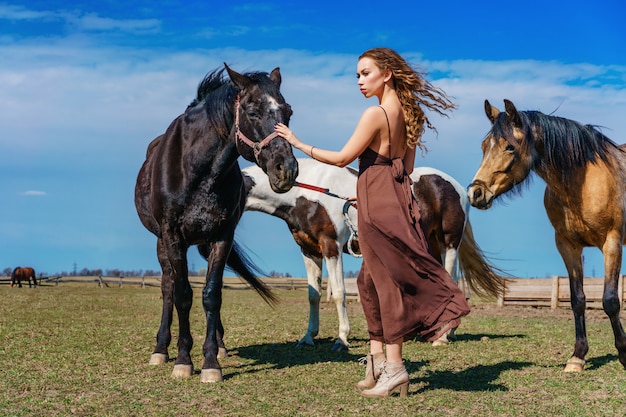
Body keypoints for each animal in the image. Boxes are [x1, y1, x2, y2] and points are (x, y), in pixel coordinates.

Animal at [133, 64, 298, 380]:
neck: (198, 170)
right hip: (161, 242)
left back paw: (219, 345)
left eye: (288, 112)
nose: (286, 170)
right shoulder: (173, 237)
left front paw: (211, 361)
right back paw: (161, 349)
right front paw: (183, 360)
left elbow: (212, 295)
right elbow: (182, 295)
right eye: (252, 111)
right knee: (168, 287)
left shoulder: (222, 236)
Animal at [243, 158, 502, 350]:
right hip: (430, 245)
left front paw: (342, 339)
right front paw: (308, 337)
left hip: (448, 243)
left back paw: (443, 336)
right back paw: (444, 332)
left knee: (452, 282)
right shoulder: (309, 250)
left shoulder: (331, 247)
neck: (308, 193)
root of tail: (456, 187)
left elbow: (339, 293)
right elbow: (313, 295)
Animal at [468, 99, 624, 372]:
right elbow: (577, 299)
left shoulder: (612, 243)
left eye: (510, 146)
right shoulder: (567, 246)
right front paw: (577, 357)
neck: (583, 185)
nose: (475, 193)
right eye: (484, 146)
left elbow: (610, 301)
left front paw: (624, 353)